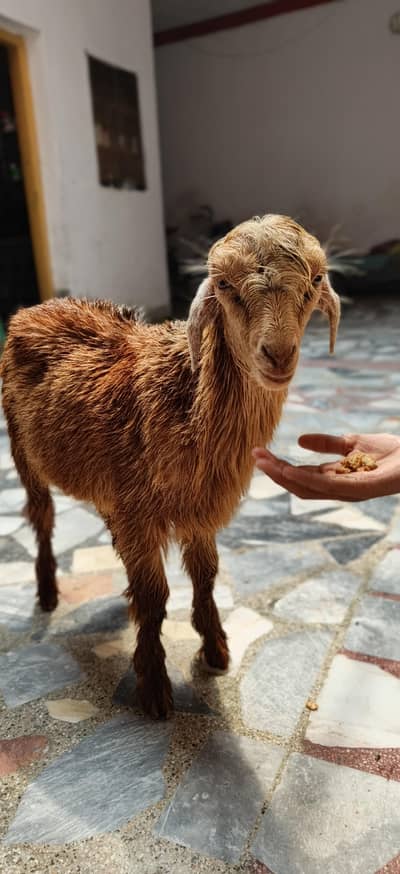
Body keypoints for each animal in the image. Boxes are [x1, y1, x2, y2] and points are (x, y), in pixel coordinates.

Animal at [1, 214, 340, 718]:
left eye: (316, 280)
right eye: (224, 285)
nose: (278, 355)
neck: (185, 400)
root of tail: (33, 309)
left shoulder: (196, 511)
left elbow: (205, 578)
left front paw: (216, 650)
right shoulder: (141, 515)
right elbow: (155, 596)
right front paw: (155, 687)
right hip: (23, 451)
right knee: (40, 517)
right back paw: (46, 593)